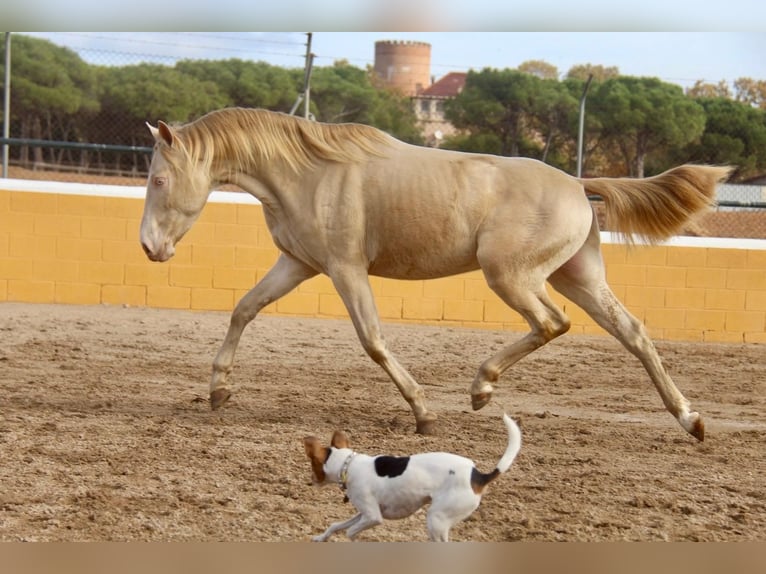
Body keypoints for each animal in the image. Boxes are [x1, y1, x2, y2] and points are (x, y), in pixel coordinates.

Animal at [139, 106, 730, 440]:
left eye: (159, 180)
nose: (149, 247)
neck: (309, 173)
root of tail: (578, 183)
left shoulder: (345, 269)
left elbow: (373, 340)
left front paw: (424, 414)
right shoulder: (299, 264)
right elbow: (243, 308)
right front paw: (218, 392)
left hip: (511, 277)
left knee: (552, 323)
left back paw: (481, 388)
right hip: (576, 277)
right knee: (632, 332)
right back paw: (691, 420)